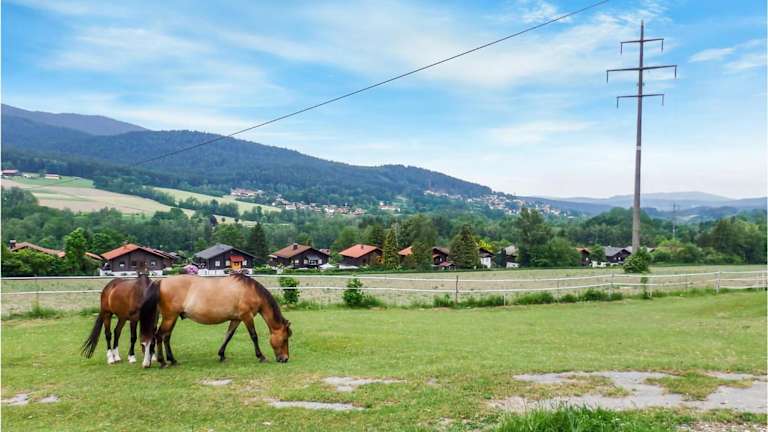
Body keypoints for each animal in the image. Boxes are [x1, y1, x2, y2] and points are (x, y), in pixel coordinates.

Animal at [140, 273, 292, 368]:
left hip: (173, 318)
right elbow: (254, 336)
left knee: (166, 337)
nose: (285, 359)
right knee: (159, 336)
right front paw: (261, 357)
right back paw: (162, 362)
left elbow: (228, 335)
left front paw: (222, 355)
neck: (250, 291)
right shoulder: (246, 317)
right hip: (170, 317)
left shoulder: (236, 319)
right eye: (285, 339)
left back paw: (172, 360)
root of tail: (161, 281)